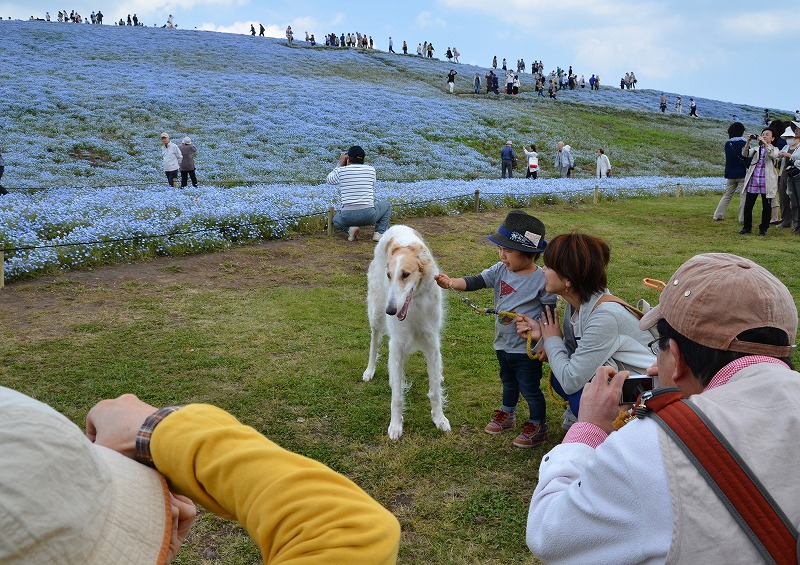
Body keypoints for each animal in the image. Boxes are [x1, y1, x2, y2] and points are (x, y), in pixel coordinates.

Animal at [362, 226, 450, 440]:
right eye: (389, 275)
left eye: (405, 274)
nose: (391, 311)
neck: (415, 304)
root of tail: (396, 226)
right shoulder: (398, 343)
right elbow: (397, 398)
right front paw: (395, 425)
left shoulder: (431, 341)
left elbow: (435, 391)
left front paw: (439, 419)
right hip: (376, 313)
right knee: (374, 342)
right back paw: (370, 370)